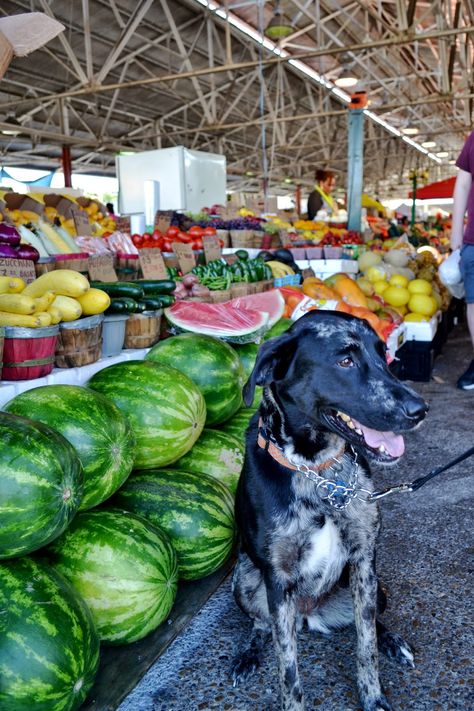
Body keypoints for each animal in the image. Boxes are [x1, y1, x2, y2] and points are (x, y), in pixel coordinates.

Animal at [231, 312, 428, 711]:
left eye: (384, 354)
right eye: (345, 361)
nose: (420, 410)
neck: (317, 470)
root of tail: (309, 613)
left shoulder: (364, 560)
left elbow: (365, 643)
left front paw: (373, 697)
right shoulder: (277, 581)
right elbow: (288, 670)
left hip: (375, 587)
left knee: (371, 622)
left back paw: (394, 642)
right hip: (243, 579)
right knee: (261, 625)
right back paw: (248, 654)